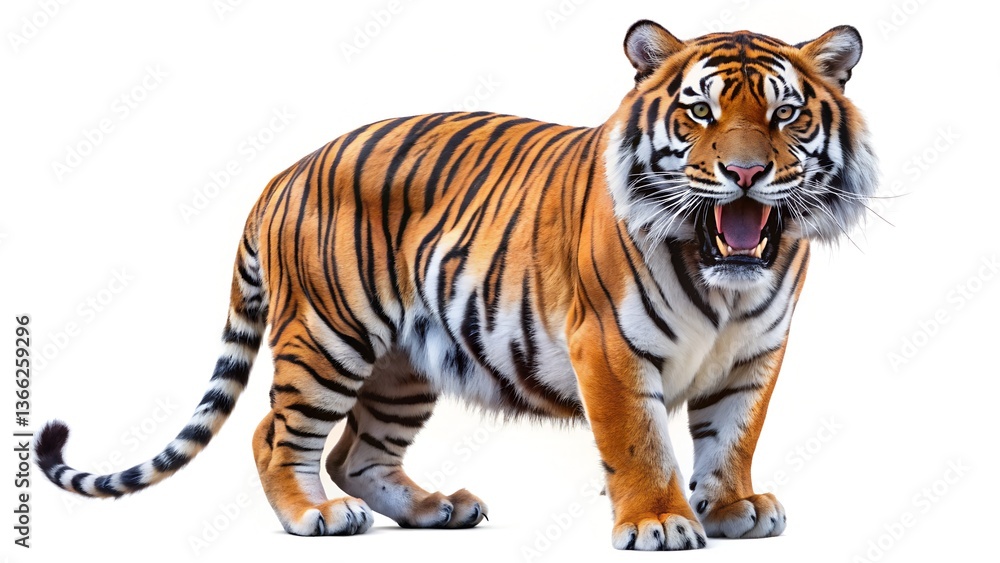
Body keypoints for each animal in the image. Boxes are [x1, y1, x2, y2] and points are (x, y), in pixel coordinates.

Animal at [35, 20, 877, 551]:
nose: (745, 172)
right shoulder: (607, 343)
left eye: (786, 115)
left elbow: (733, 436)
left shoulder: (756, 353)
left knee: (356, 453)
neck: (727, 280)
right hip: (329, 336)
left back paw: (436, 508)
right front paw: (661, 521)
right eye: (699, 111)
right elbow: (640, 442)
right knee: (274, 432)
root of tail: (285, 170)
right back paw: (316, 514)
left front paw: (733, 508)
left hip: (404, 364)